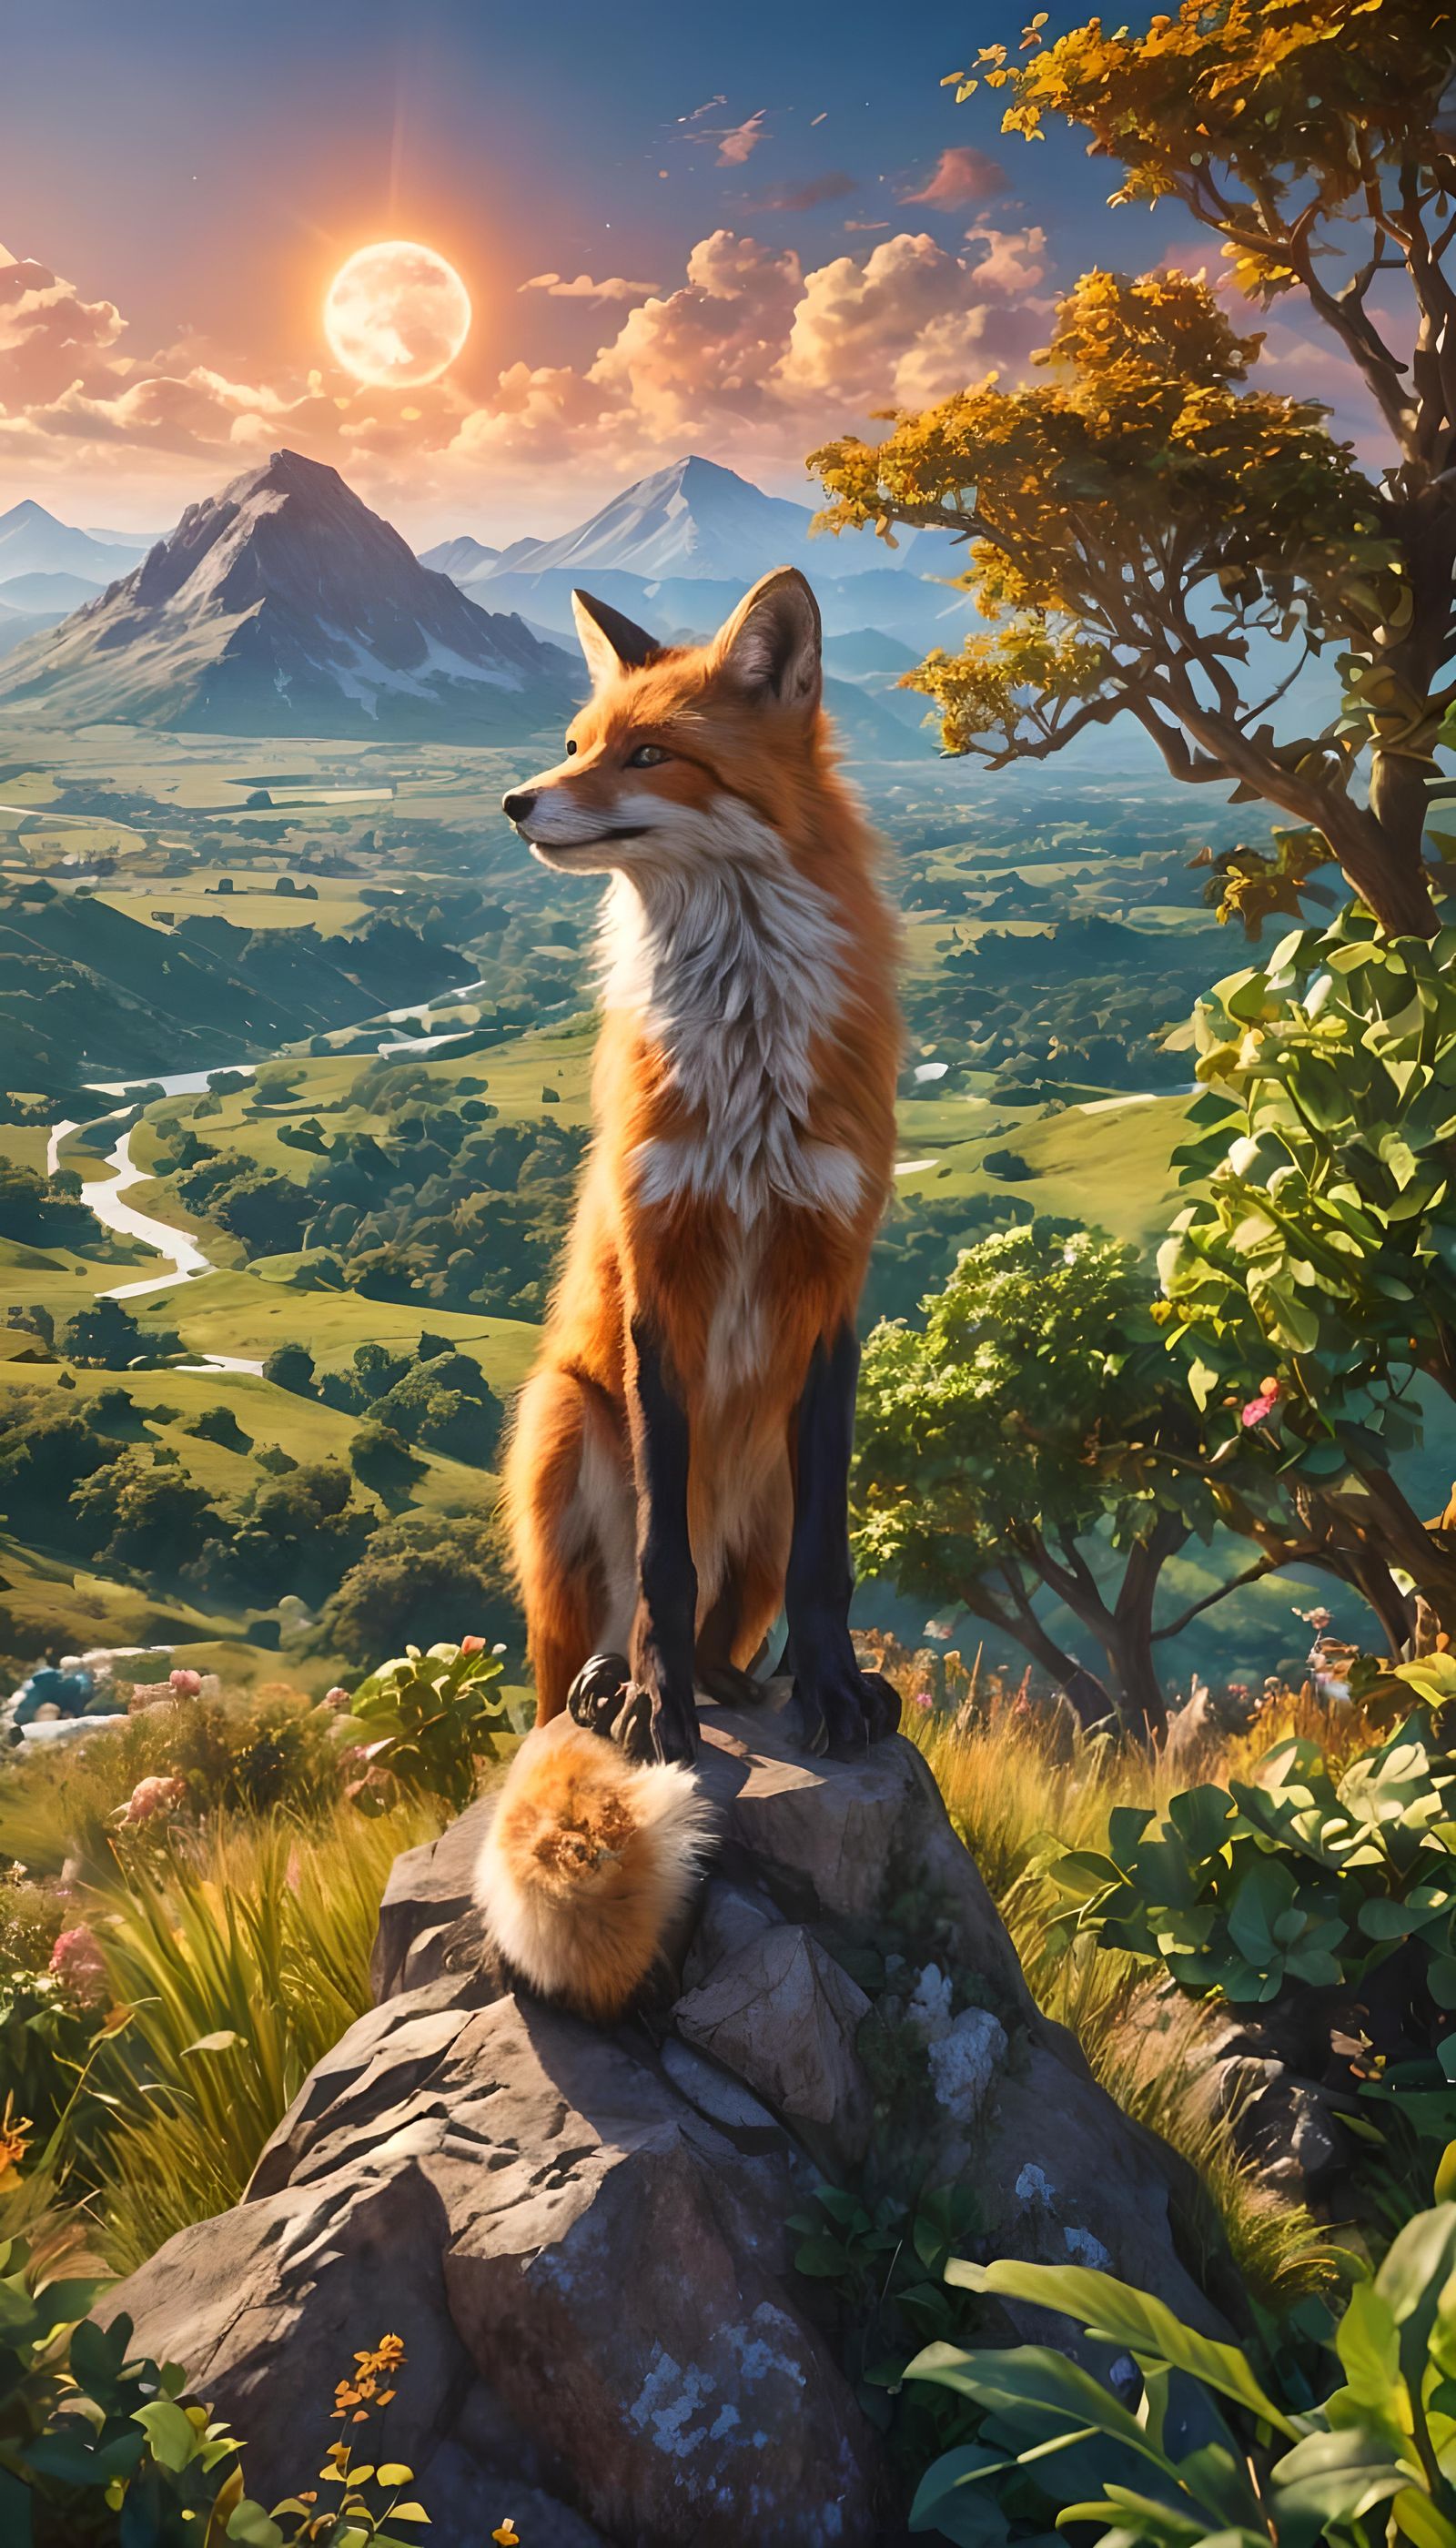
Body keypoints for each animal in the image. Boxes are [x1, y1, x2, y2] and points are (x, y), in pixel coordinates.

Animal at [472, 566, 902, 2018]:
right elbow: (658, 1556)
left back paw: (741, 1682)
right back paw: (617, 1687)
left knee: (729, 1627)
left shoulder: (834, 1285)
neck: (748, 1062)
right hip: (564, 1434)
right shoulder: (654, 1280)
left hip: (756, 1500)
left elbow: (829, 1569)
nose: (514, 802)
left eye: (648, 755)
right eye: (573, 744)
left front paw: (831, 1691)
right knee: (583, 1657)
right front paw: (658, 1709)